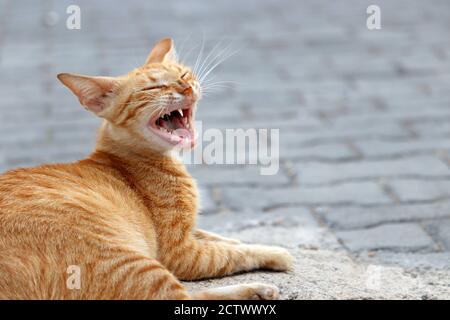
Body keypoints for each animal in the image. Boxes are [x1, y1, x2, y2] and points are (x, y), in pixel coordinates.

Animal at [0, 38, 294, 300]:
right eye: (154, 88)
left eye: (183, 73)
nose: (186, 87)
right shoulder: (181, 253)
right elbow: (232, 254)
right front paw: (274, 252)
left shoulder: (189, 233)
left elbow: (216, 236)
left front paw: (233, 240)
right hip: (133, 265)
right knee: (184, 297)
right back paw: (256, 289)